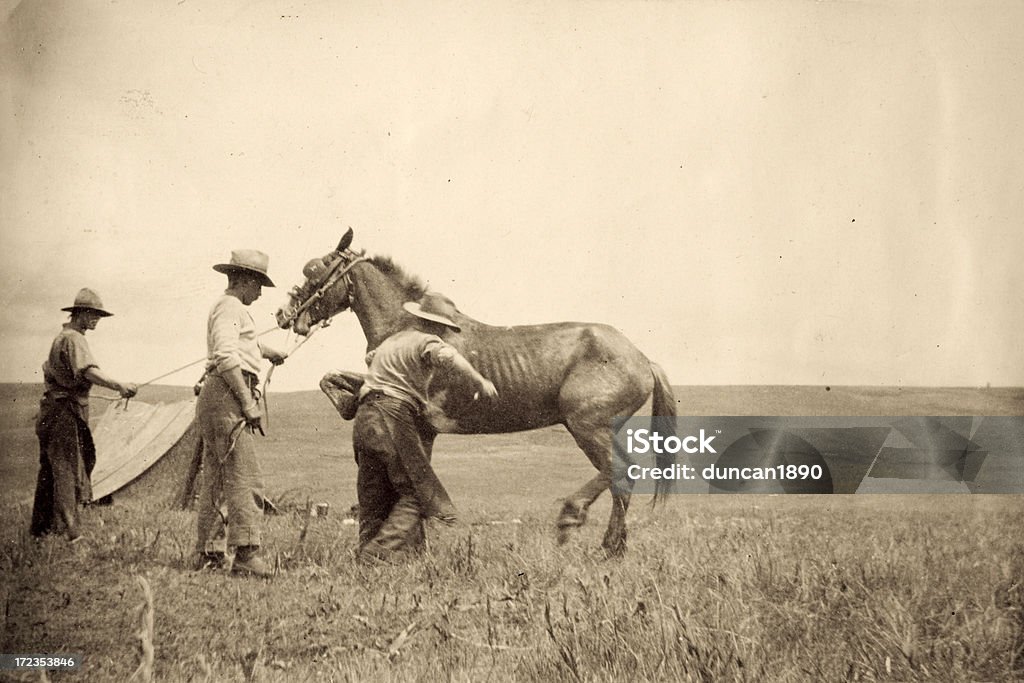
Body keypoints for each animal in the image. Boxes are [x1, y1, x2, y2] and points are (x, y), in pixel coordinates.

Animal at [276, 229, 675, 557]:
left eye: (313, 271)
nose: (283, 314)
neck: (409, 325)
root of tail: (643, 359)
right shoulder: (422, 425)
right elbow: (332, 380)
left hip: (587, 425)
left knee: (620, 471)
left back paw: (572, 521)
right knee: (622, 480)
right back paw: (612, 548)